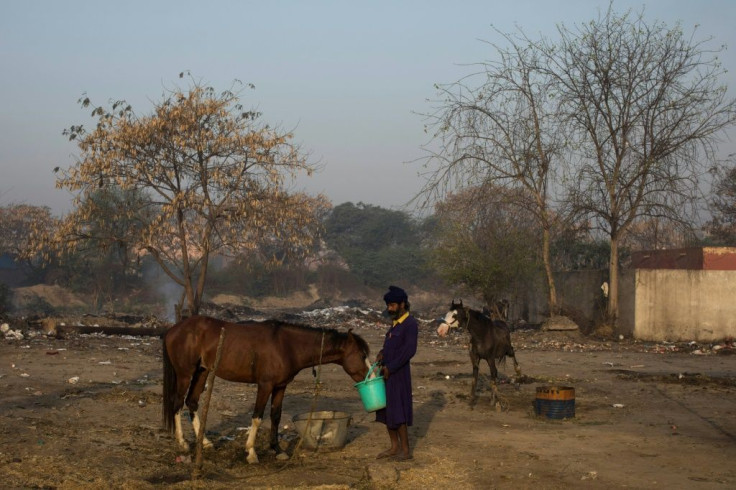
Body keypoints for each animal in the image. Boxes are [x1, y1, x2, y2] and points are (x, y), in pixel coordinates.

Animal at [161, 314, 368, 464]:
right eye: (361, 354)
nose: (371, 377)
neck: (287, 346)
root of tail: (173, 330)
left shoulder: (280, 386)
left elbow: (275, 416)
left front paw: (277, 450)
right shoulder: (265, 385)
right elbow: (257, 416)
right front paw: (251, 452)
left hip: (202, 372)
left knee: (192, 402)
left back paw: (204, 442)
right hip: (185, 374)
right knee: (177, 403)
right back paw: (183, 443)